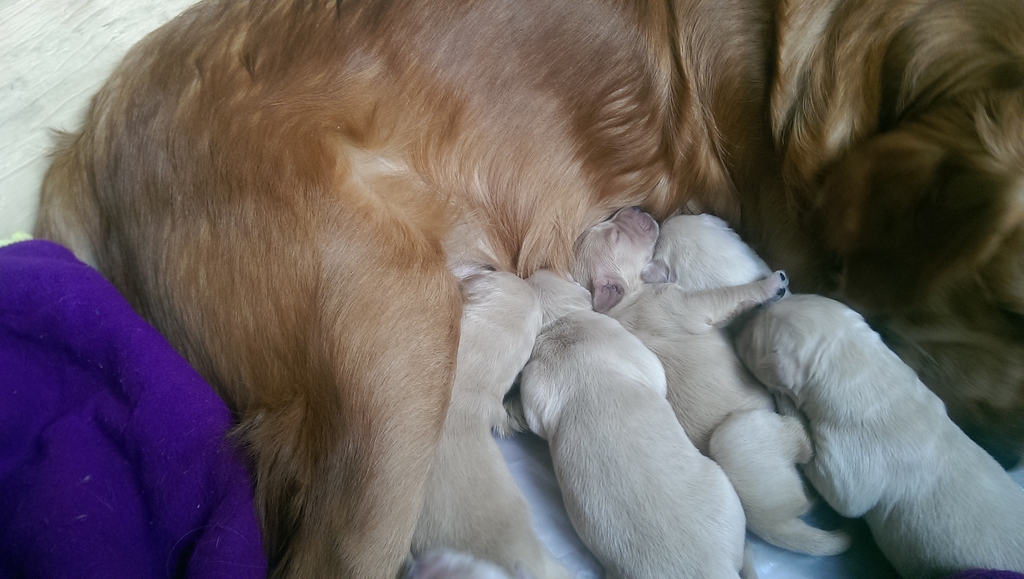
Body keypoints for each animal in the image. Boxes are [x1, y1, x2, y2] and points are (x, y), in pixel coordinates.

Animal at [520, 269, 747, 579]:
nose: (538, 271)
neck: (561, 322)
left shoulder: (534, 386)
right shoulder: (627, 345)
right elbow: (656, 375)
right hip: (723, 491)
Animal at [572, 208, 850, 557]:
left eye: (611, 225)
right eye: (615, 236)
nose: (632, 209)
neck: (627, 301)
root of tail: (776, 524)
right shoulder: (685, 305)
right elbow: (728, 295)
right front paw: (770, 285)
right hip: (739, 435)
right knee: (803, 445)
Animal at [736, 295, 1024, 579]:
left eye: (752, 337)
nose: (747, 311)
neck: (863, 370)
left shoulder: (854, 461)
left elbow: (842, 494)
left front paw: (787, 402)